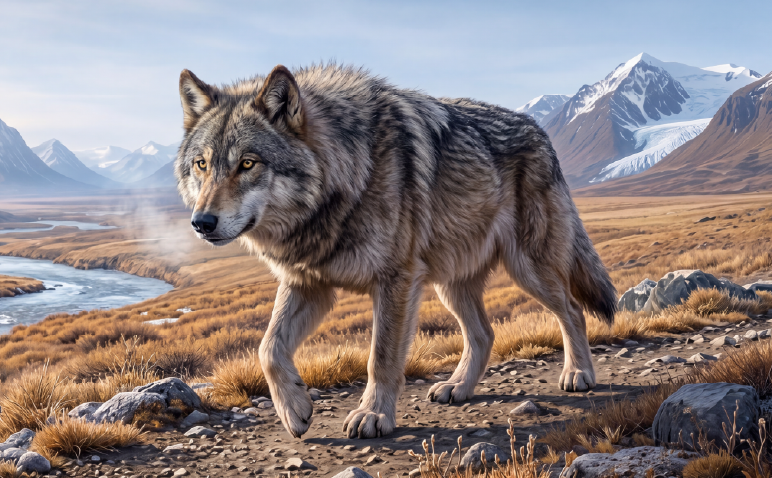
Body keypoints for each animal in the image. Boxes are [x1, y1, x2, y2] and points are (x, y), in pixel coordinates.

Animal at [174, 63, 616, 439]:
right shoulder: (308, 283)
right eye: (202, 164)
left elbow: (381, 358)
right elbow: (268, 348)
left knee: (572, 310)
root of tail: (540, 130)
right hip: (450, 284)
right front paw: (294, 409)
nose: (201, 223)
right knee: (484, 333)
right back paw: (458, 387)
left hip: (528, 268)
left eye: (248, 164)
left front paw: (373, 415)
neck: (347, 176)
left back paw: (578, 374)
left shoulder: (395, 282)